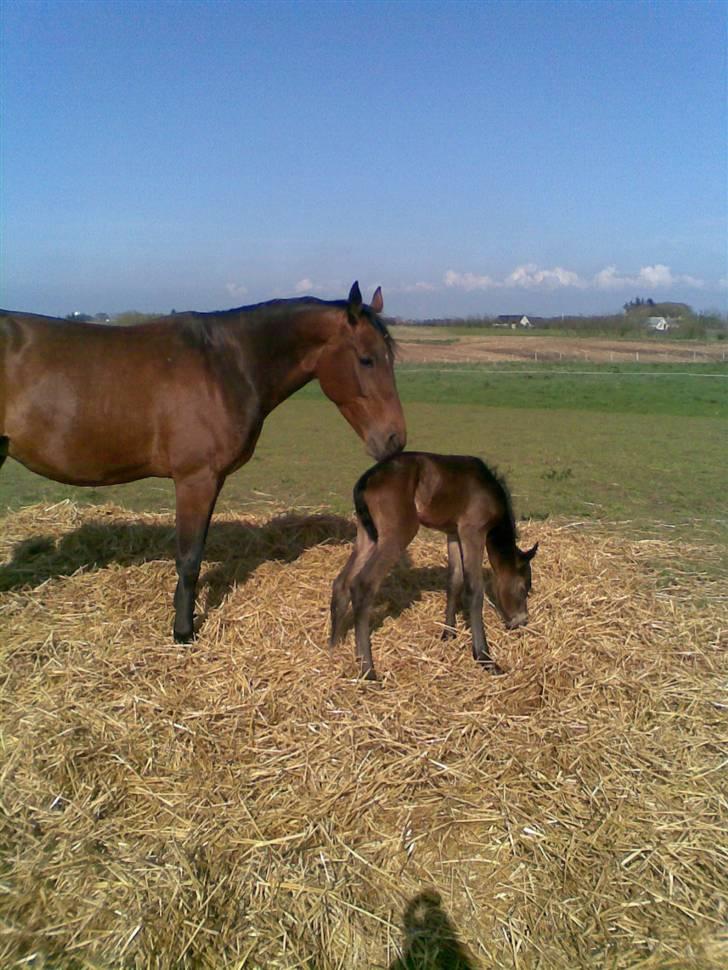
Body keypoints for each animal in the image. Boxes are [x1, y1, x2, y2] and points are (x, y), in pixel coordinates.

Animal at [328, 450, 536, 676]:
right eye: (523, 587)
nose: (521, 620)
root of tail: (367, 479)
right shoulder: (473, 531)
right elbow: (474, 590)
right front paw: (484, 657)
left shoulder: (453, 533)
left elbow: (454, 581)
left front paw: (448, 635)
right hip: (396, 534)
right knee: (362, 585)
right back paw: (368, 670)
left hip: (368, 535)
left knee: (341, 583)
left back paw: (334, 646)